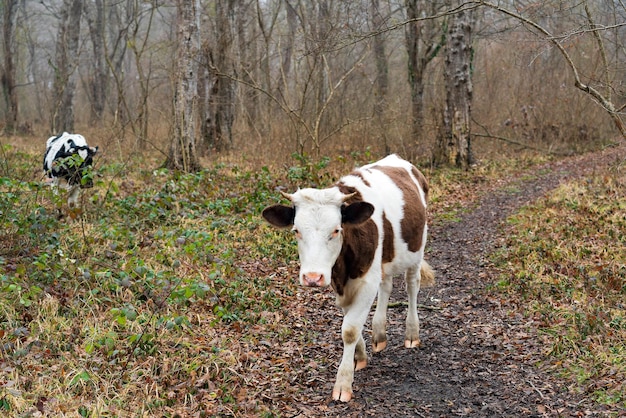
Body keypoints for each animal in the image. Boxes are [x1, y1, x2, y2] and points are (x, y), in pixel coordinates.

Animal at [260, 153, 432, 402]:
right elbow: (350, 320)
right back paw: (379, 333)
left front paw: (343, 383)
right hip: (384, 260)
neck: (343, 268)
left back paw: (411, 333)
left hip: (418, 248)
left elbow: (349, 329)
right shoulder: (339, 282)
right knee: (387, 285)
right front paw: (359, 356)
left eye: (336, 230)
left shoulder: (366, 281)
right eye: (296, 231)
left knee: (412, 285)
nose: (312, 277)